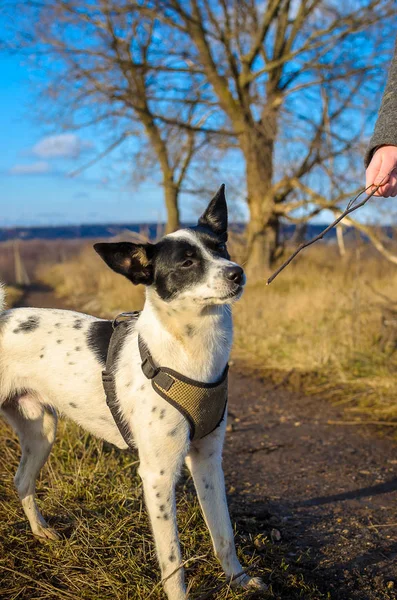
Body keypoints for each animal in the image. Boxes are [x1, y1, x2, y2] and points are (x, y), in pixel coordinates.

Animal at [0, 185, 266, 596]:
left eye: (221, 247)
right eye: (187, 262)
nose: (237, 273)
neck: (191, 351)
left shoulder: (208, 459)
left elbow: (223, 533)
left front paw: (237, 580)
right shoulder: (157, 473)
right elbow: (172, 559)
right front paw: (179, 595)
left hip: (40, 432)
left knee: (22, 480)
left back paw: (41, 532)